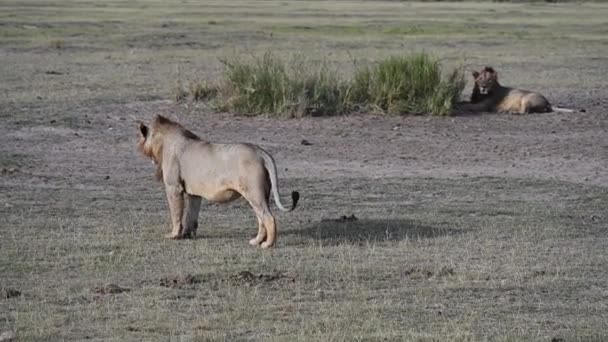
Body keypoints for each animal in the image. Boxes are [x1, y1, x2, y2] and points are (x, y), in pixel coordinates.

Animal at [137, 115, 300, 248]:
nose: (140, 149)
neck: (165, 141)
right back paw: (256, 241)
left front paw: (174, 235)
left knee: (269, 218)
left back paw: (267, 245)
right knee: (261, 218)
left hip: (254, 192)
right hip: (260, 194)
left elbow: (176, 213)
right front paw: (187, 235)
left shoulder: (173, 187)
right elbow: (191, 215)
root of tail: (261, 152)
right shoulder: (194, 193)